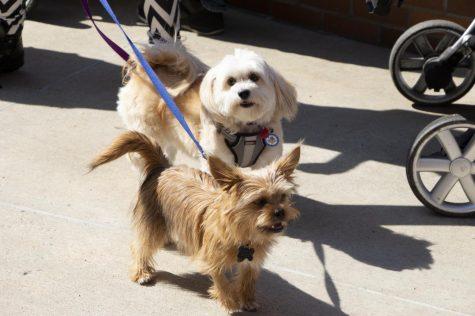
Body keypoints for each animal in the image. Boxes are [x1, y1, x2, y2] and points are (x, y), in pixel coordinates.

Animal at [89, 131, 300, 312]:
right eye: (260, 201)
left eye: (282, 196)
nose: (280, 212)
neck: (242, 233)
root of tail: (164, 167)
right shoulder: (213, 259)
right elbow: (222, 281)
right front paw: (229, 302)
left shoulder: (252, 262)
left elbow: (247, 280)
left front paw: (247, 300)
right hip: (152, 225)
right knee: (140, 246)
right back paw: (142, 272)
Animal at [117, 43, 300, 170]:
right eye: (231, 81)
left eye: (254, 77)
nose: (243, 93)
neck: (246, 129)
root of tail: (147, 67)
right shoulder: (216, 159)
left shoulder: (265, 162)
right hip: (147, 131)